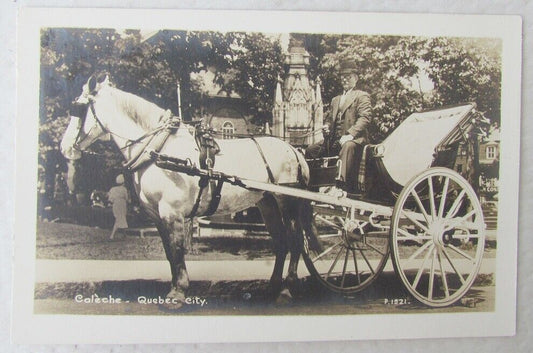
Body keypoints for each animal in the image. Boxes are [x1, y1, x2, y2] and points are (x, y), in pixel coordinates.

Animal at [60, 74, 310, 306]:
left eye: (78, 108)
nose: (64, 148)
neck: (159, 149)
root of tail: (294, 150)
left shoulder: (172, 212)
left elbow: (178, 249)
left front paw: (178, 293)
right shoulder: (157, 216)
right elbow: (170, 252)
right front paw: (174, 288)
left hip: (287, 200)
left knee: (295, 240)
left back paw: (288, 288)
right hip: (267, 202)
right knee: (281, 241)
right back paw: (273, 286)